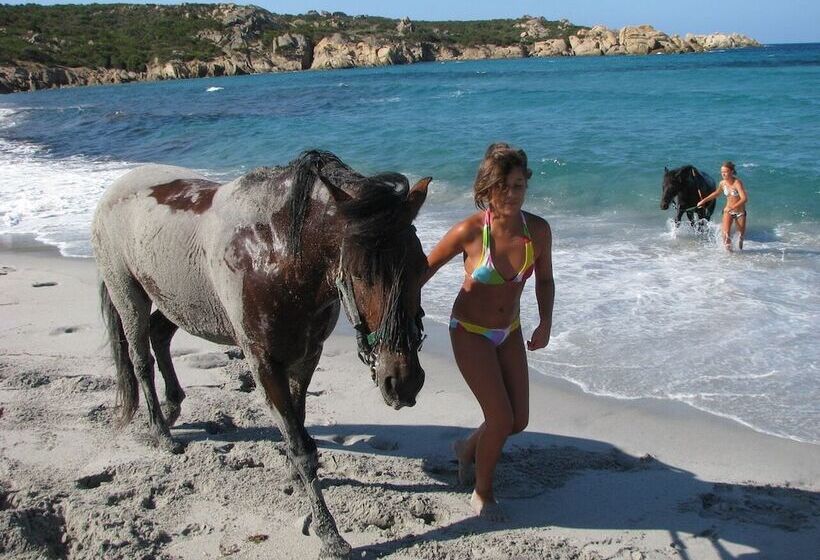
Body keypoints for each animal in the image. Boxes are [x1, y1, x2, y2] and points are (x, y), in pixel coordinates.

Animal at [92, 150, 430, 559]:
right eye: (360, 273)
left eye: (422, 266)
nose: (403, 382)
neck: (278, 256)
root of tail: (114, 189)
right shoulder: (264, 364)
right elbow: (300, 444)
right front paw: (328, 532)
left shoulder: (307, 356)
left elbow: (299, 424)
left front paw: (294, 479)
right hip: (129, 296)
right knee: (141, 360)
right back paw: (161, 432)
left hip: (180, 301)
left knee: (160, 337)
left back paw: (173, 407)